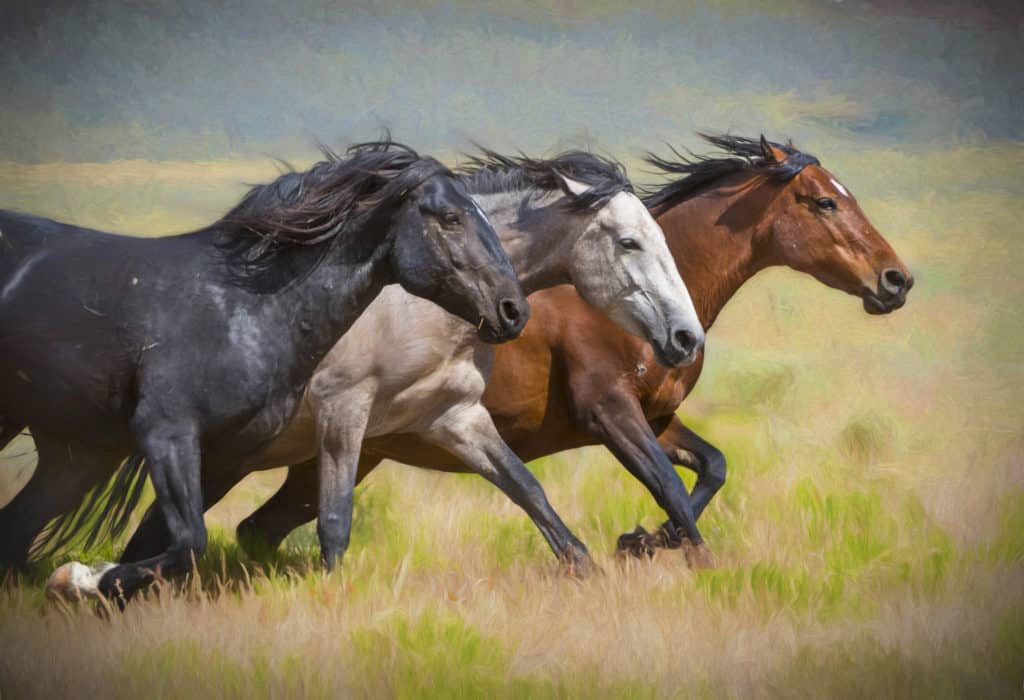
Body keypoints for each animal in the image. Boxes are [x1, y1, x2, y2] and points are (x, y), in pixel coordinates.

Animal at [0, 142, 528, 601]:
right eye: (452, 218)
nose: (514, 311)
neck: (244, 307)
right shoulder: (166, 432)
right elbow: (187, 542)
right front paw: (81, 577)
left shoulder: (227, 454)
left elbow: (168, 545)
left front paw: (87, 584)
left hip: (72, 452)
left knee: (16, 530)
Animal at [123, 134, 917, 564]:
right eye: (824, 201)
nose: (896, 280)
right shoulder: (610, 415)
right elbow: (672, 490)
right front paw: (667, 550)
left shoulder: (653, 419)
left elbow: (711, 469)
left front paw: (638, 541)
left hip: (327, 456)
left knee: (252, 530)